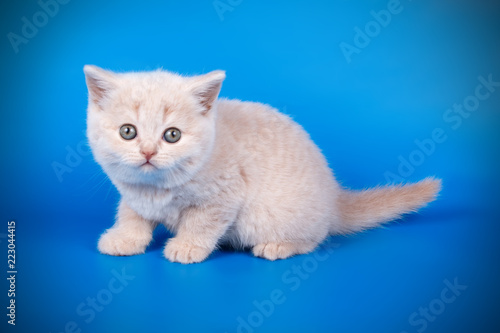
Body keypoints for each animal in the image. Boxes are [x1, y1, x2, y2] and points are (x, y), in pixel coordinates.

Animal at [83, 64, 442, 262]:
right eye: (128, 131)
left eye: (172, 135)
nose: (147, 152)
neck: (156, 188)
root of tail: (334, 199)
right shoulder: (132, 193)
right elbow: (130, 214)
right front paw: (124, 238)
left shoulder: (224, 195)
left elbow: (202, 222)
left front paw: (187, 246)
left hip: (271, 216)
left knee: (314, 239)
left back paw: (278, 246)